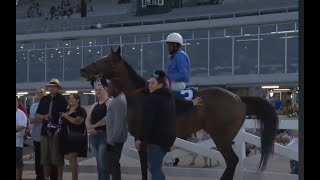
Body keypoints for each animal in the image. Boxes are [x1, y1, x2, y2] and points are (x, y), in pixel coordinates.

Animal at [81, 46, 278, 180]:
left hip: (221, 136)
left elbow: (145, 168)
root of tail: (238, 98)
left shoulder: (142, 140)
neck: (143, 97)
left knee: (232, 161)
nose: (84, 69)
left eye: (106, 61)